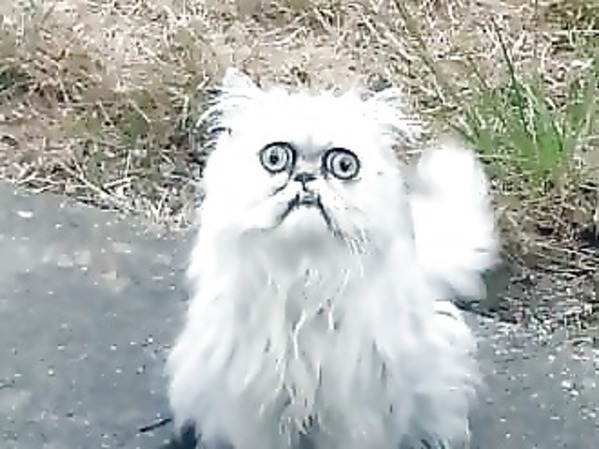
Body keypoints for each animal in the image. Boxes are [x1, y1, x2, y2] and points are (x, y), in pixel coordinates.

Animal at [166, 68, 498, 449]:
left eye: (342, 165)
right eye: (275, 159)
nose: (306, 177)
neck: (305, 277)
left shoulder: (356, 415)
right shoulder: (258, 409)